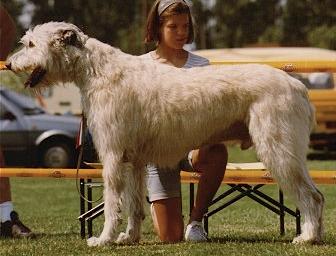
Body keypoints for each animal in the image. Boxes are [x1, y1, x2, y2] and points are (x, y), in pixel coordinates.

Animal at [6, 22, 324, 246]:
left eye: (31, 43)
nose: (8, 63)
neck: (97, 70)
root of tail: (298, 86)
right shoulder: (133, 160)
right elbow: (134, 204)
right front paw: (129, 237)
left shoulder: (112, 156)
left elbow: (112, 204)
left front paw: (104, 238)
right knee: (317, 195)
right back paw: (315, 235)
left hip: (278, 147)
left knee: (311, 195)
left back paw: (307, 236)